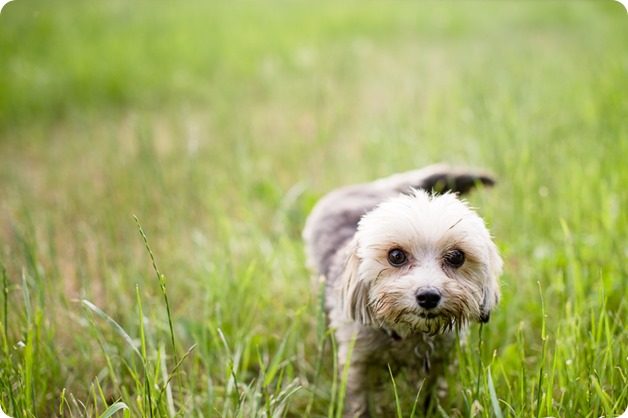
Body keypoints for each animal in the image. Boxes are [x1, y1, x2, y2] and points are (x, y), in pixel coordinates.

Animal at [302, 165, 502, 416]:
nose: (428, 296)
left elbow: (429, 397)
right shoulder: (358, 361)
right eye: (396, 256)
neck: (408, 333)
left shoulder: (437, 363)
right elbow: (359, 402)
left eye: (457, 256)